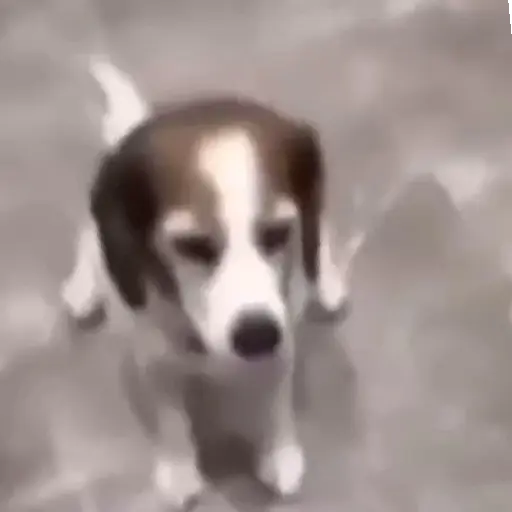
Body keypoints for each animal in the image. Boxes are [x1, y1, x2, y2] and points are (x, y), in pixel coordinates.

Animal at [61, 56, 348, 508]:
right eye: (192, 245)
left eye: (278, 233)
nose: (257, 336)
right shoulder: (154, 357)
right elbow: (170, 416)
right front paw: (179, 469)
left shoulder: (282, 330)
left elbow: (276, 398)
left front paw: (278, 450)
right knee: (89, 235)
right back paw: (83, 287)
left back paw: (327, 279)